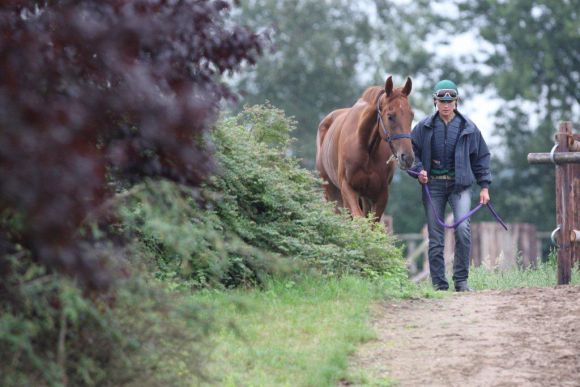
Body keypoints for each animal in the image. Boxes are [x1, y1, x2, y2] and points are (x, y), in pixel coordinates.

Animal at [314, 76, 414, 221]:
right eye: (390, 116)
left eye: (411, 115)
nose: (407, 157)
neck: (366, 149)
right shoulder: (348, 189)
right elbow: (358, 220)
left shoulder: (381, 194)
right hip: (332, 194)